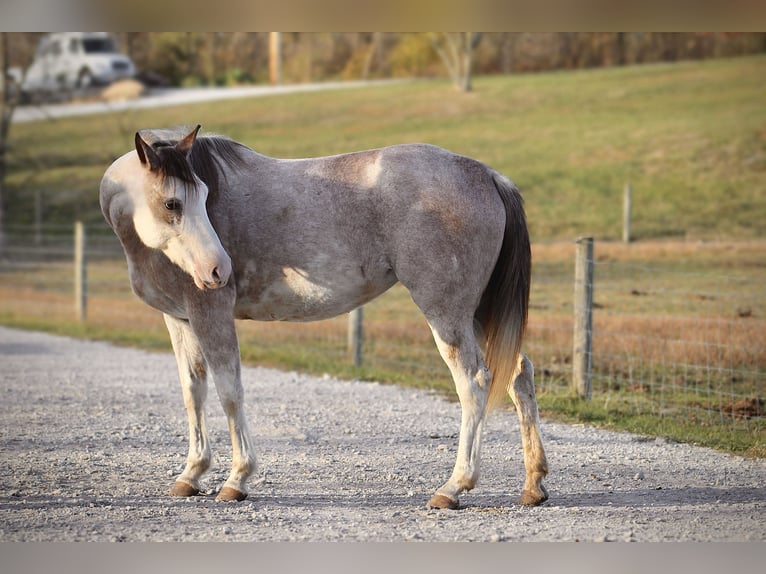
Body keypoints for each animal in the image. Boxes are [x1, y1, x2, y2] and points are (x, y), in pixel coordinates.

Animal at [100, 125, 552, 508]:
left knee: (474, 383)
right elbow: (193, 392)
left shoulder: (210, 313)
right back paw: (533, 485)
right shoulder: (180, 319)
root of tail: (487, 175)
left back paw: (454, 487)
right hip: (477, 313)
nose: (219, 270)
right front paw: (191, 474)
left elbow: (230, 392)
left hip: (448, 314)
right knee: (519, 374)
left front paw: (237, 479)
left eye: (204, 194)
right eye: (173, 202)